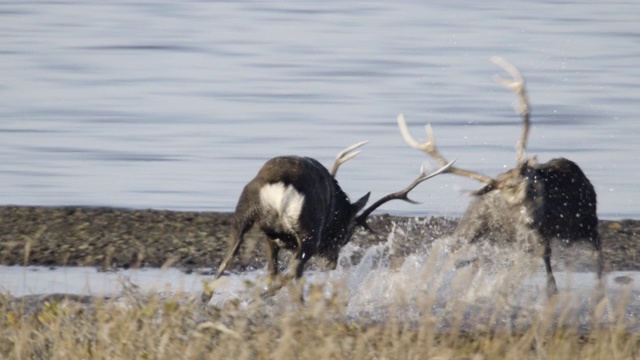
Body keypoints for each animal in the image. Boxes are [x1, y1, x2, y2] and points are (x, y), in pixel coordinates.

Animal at [212, 139, 452, 296]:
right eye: (346, 233)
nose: (332, 263)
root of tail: (280, 187)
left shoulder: (270, 237)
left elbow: (271, 270)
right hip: (308, 233)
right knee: (294, 272)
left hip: (244, 215)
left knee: (226, 261)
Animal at [398, 56, 604, 298]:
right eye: (509, 201)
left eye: (532, 187)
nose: (529, 220)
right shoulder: (535, 235)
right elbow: (547, 266)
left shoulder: (588, 224)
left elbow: (597, 263)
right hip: (473, 227)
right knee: (455, 252)